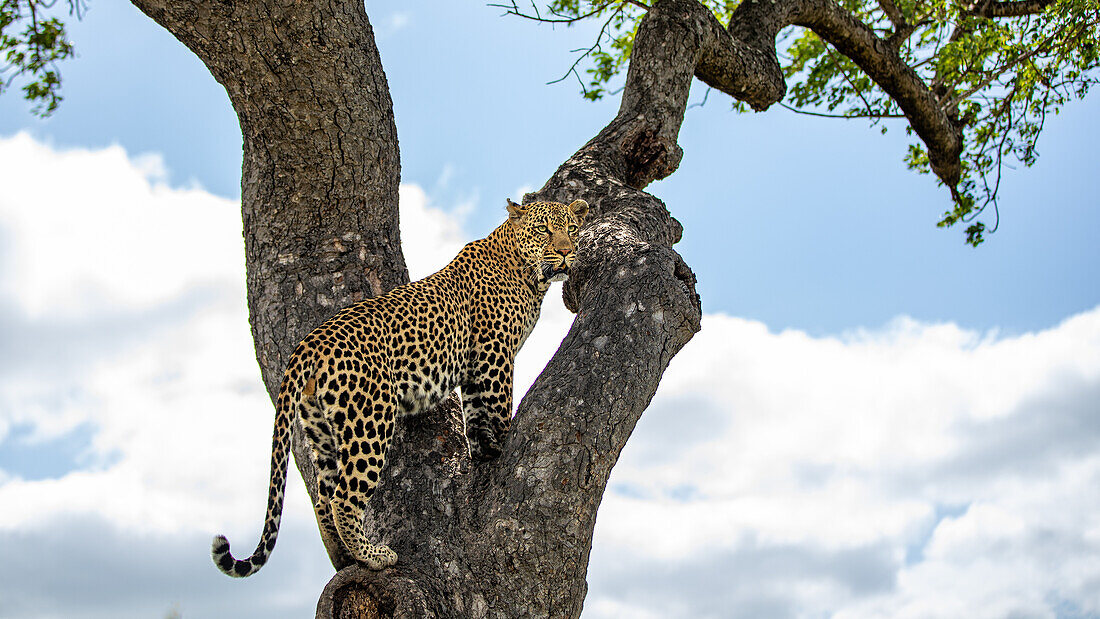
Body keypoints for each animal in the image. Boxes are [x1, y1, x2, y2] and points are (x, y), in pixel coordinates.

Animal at [211, 197, 589, 576]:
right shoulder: (494, 355)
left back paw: (343, 558)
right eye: (543, 230)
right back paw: (373, 555)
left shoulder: (472, 366)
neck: (525, 271)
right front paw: (504, 442)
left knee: (323, 498)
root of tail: (310, 342)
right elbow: (498, 407)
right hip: (369, 420)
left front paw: (484, 451)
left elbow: (475, 414)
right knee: (344, 498)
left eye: (571, 229)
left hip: (319, 428)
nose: (566, 252)